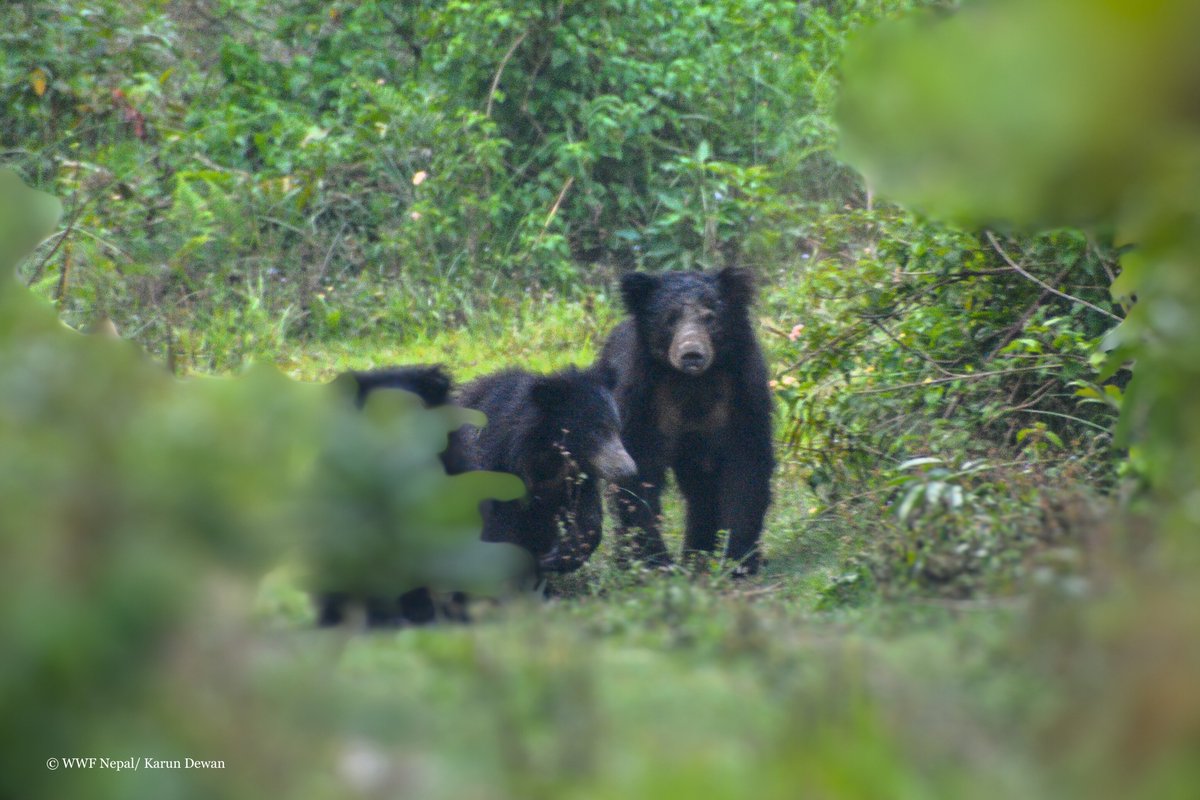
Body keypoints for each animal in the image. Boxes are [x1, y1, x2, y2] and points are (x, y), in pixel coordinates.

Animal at [453, 364, 637, 574]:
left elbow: (587, 518)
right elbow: (498, 527)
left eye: (616, 428)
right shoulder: (495, 464)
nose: (628, 470)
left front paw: (558, 556)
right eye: (597, 430)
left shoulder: (575, 479)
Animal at [599, 267, 775, 575]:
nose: (691, 354)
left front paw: (738, 559)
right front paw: (655, 561)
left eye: (710, 317)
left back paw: (698, 553)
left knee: (701, 492)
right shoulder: (640, 396)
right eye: (670, 319)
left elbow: (746, 466)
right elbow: (636, 467)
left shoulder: (743, 393)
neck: (692, 382)